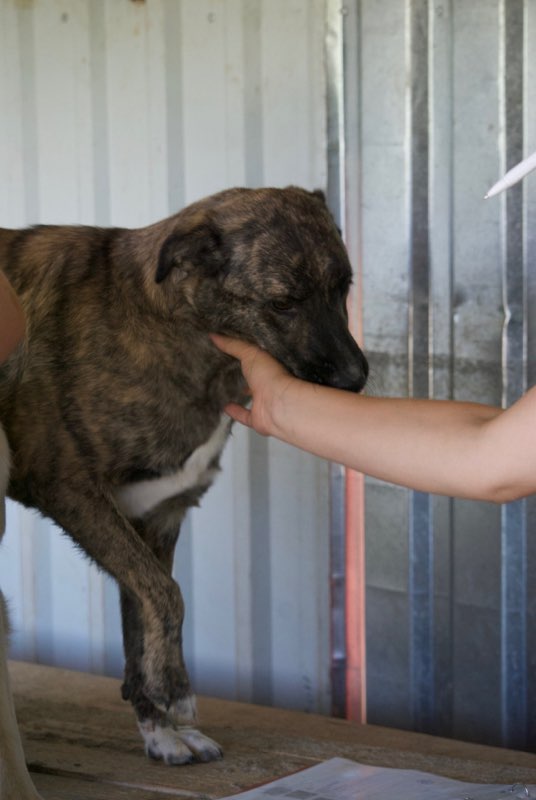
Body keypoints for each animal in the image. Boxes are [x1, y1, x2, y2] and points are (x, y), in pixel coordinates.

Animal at [0, 188, 368, 792]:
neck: (169, 324)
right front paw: (177, 692)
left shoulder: (154, 515)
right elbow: (169, 595)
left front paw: (161, 729)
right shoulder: (67, 487)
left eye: (344, 288)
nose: (357, 380)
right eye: (282, 303)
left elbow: (143, 619)